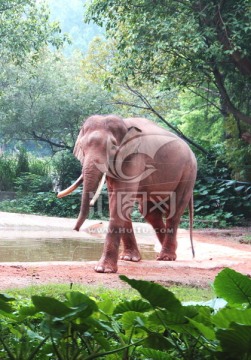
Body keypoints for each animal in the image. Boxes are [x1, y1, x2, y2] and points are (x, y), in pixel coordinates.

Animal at [57, 115, 197, 272]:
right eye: (81, 148)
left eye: (112, 146)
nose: (75, 229)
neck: (124, 123)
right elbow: (116, 200)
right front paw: (129, 259)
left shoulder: (134, 158)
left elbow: (121, 200)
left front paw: (103, 269)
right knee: (149, 212)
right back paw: (170, 252)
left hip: (188, 173)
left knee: (174, 210)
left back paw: (166, 257)